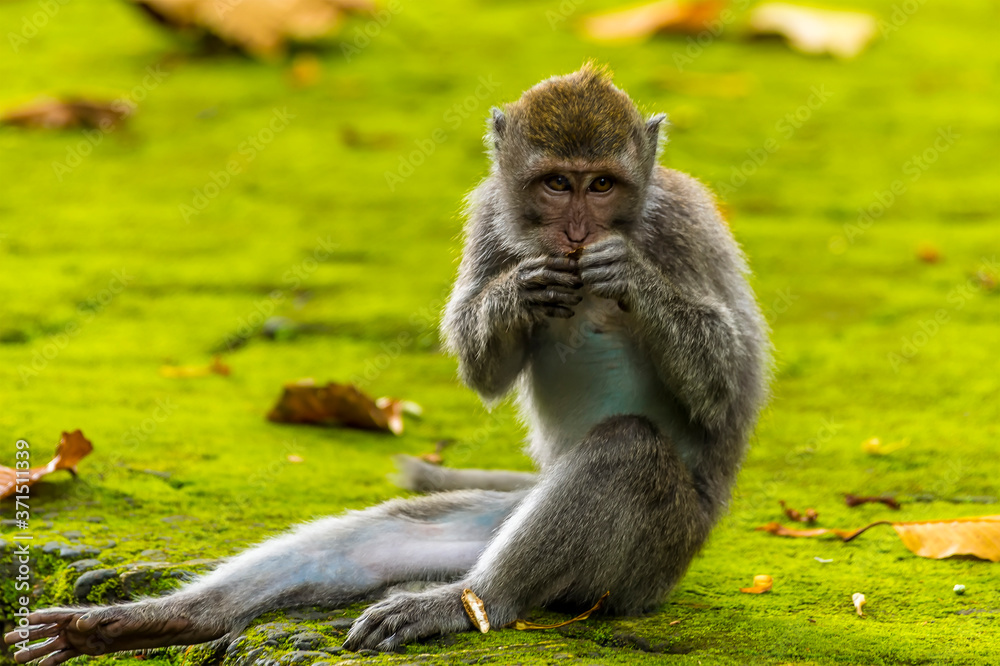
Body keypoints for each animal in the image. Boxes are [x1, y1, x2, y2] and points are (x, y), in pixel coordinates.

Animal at [5, 64, 769, 665]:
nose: (577, 232)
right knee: (377, 540)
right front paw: (518, 291)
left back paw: (471, 601)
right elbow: (486, 372)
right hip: (499, 519)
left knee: (627, 452)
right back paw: (160, 620)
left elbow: (732, 388)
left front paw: (631, 275)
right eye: (557, 183)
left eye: (602, 185)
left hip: (655, 557)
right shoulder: (489, 216)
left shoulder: (685, 222)